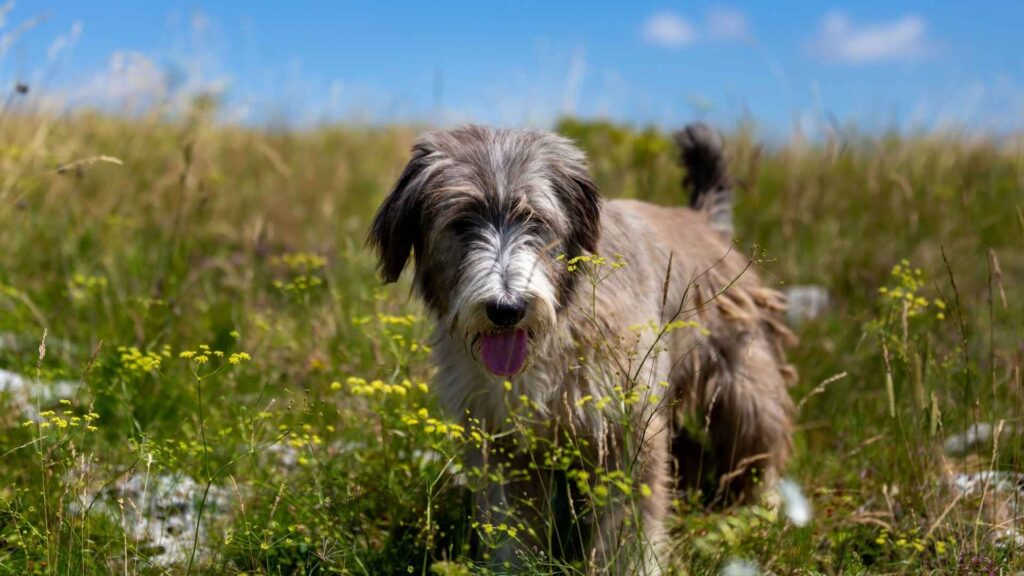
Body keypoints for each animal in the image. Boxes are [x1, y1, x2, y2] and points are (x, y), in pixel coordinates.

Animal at [370, 123, 798, 569]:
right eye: (461, 222)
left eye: (535, 220)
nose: (507, 309)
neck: (556, 330)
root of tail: (702, 220)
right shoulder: (502, 443)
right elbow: (512, 526)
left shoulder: (628, 428)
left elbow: (631, 523)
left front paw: (632, 567)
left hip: (746, 388)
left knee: (762, 447)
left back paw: (765, 510)